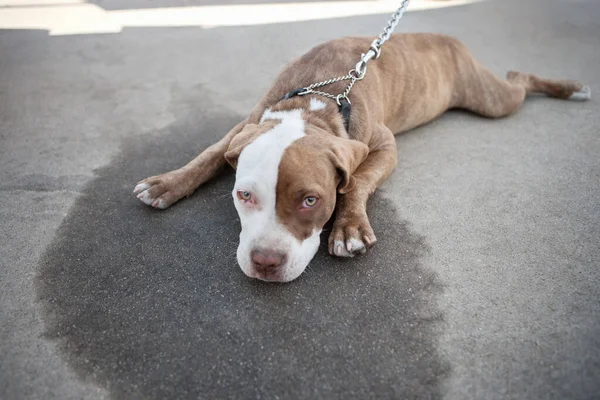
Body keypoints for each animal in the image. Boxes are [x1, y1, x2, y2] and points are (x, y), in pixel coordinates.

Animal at [132, 34, 592, 282]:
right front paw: (166, 183)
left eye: (311, 200)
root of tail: (447, 38)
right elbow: (210, 154)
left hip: (492, 100)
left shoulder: (383, 146)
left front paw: (349, 228)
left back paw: (571, 88)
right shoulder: (246, 125)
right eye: (243, 195)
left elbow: (357, 182)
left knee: (519, 79)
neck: (314, 102)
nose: (265, 262)